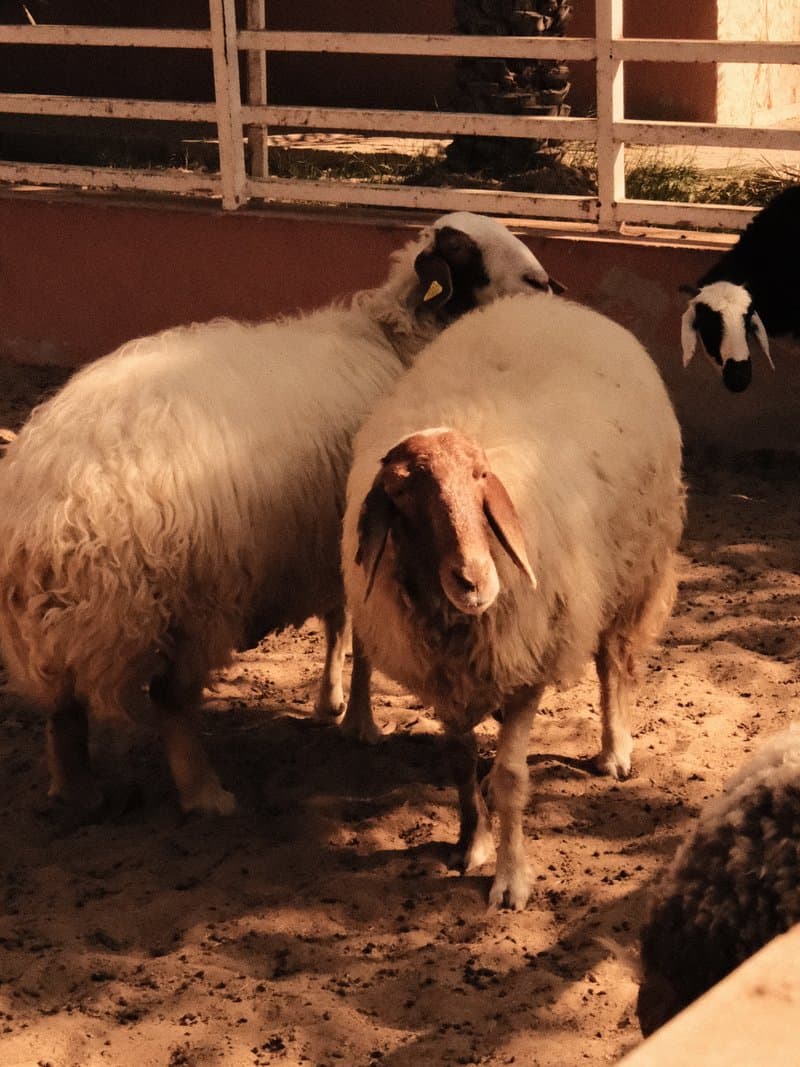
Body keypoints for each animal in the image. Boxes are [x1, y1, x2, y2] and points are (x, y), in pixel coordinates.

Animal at [0, 212, 562, 818]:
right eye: (475, 257)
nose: (552, 288)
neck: (395, 343)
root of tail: (53, 521)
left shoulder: (336, 535)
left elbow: (337, 621)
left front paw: (332, 702)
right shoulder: (369, 532)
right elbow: (361, 637)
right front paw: (360, 721)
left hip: (50, 628)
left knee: (62, 710)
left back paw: (76, 791)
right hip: (191, 600)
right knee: (170, 701)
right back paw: (204, 792)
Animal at [342, 291, 686, 908]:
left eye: (482, 478)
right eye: (402, 495)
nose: (474, 581)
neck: (455, 626)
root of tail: (553, 305)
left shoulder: (529, 666)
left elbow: (509, 778)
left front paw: (510, 878)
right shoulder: (445, 679)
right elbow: (460, 763)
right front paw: (471, 844)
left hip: (631, 570)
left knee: (613, 662)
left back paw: (614, 749)